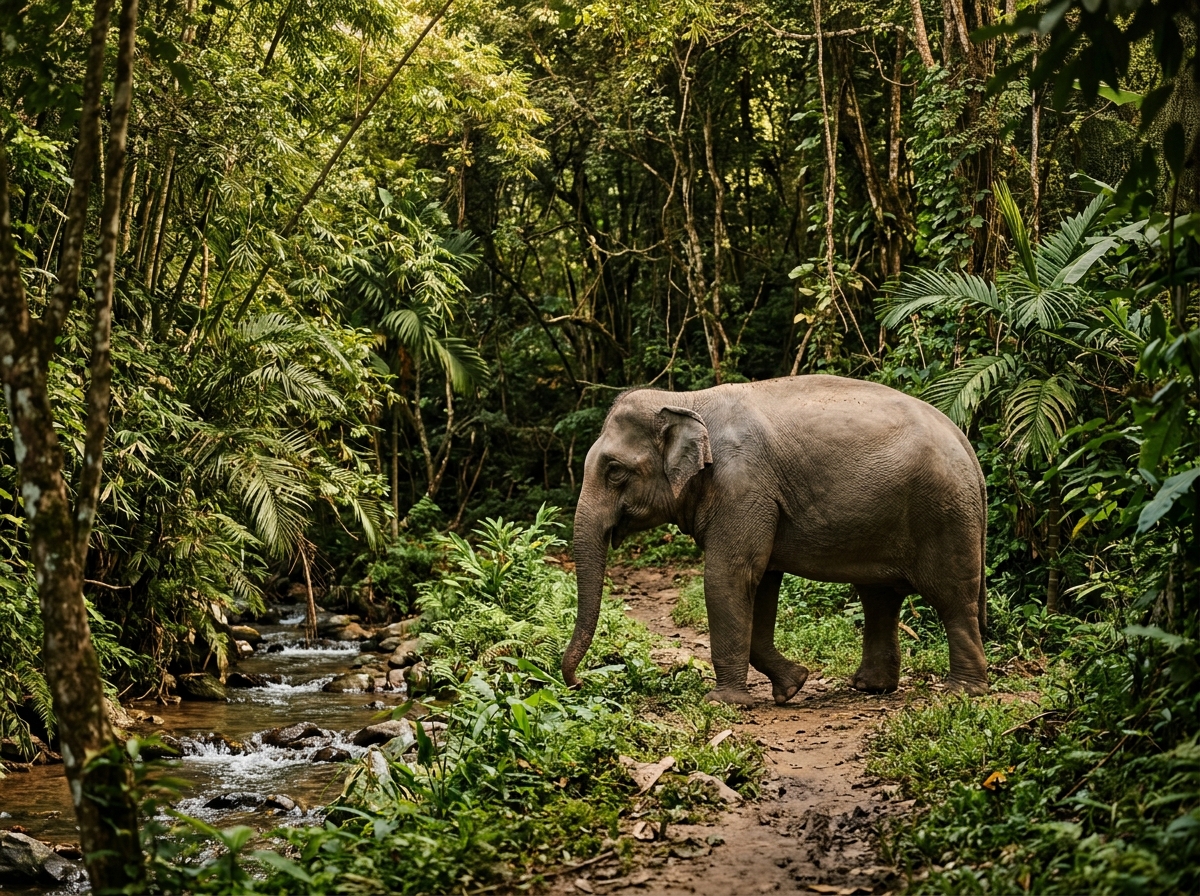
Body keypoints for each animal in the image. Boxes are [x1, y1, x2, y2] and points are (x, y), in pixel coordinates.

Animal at [561, 375, 989, 705]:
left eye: (615, 471)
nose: (579, 683)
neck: (685, 400)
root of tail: (965, 442)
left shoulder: (742, 485)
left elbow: (730, 576)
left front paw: (724, 702)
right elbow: (762, 582)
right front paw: (793, 685)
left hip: (945, 513)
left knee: (951, 597)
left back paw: (962, 692)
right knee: (879, 597)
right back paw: (870, 687)